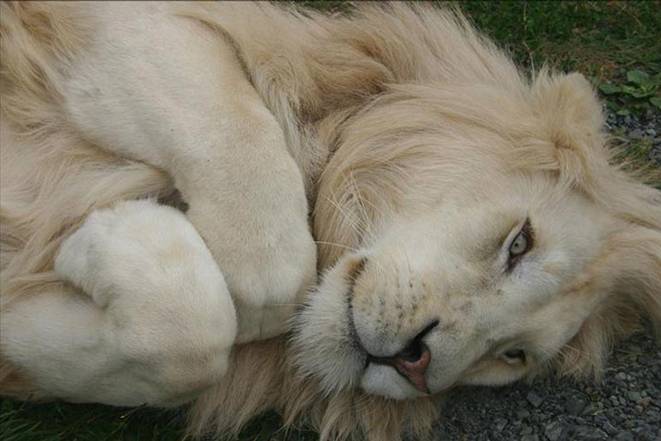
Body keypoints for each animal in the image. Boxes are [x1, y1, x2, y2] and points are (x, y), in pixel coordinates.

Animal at [1, 2, 659, 440]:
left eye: (512, 356)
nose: (414, 364)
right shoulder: (117, 23)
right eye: (520, 243)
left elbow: (184, 347)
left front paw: (108, 242)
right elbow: (264, 237)